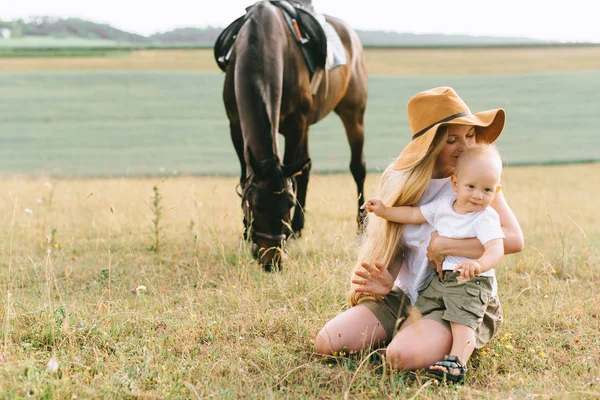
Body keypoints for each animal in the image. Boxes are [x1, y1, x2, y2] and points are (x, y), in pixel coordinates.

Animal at [214, 0, 366, 270]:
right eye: (257, 207)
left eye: (288, 204)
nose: (271, 261)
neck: (261, 36)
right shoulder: (235, 126)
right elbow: (246, 177)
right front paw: (245, 233)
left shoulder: (296, 124)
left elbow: (292, 178)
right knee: (305, 169)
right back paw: (298, 229)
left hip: (353, 114)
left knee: (357, 168)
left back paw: (359, 228)